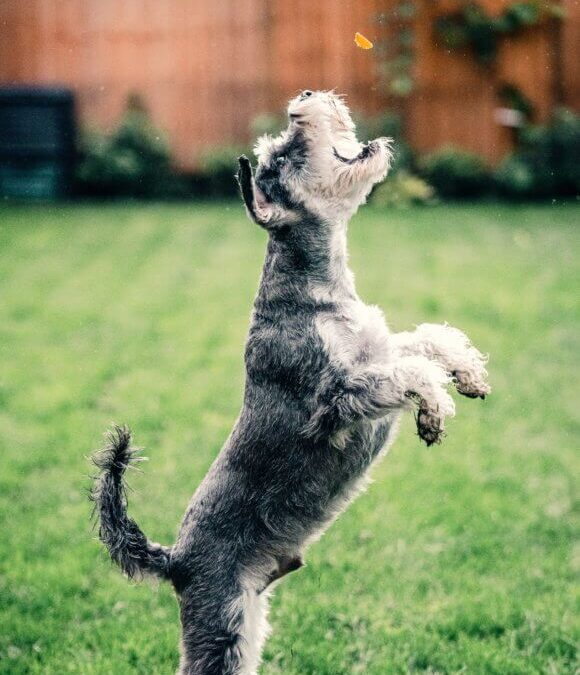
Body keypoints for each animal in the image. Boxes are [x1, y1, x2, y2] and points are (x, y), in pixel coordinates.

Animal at [90, 91, 490, 675]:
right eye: (280, 155)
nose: (302, 99)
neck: (314, 285)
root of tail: (174, 559)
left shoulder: (375, 351)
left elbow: (424, 341)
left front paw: (468, 373)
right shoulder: (336, 398)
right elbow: (409, 371)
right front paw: (434, 410)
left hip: (249, 622)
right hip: (222, 623)